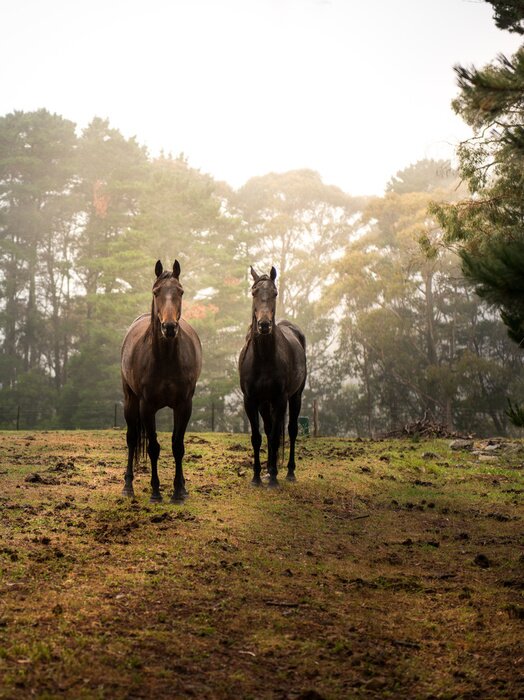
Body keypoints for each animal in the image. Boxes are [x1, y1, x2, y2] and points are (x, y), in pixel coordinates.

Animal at [121, 259, 202, 503]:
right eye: (156, 292)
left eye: (180, 291)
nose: (169, 327)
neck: (165, 359)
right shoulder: (146, 406)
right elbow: (154, 447)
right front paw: (156, 492)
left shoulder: (184, 405)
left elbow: (178, 445)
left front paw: (178, 492)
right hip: (130, 401)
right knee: (131, 438)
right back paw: (128, 486)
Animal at [238, 266, 307, 487]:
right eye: (254, 292)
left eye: (275, 293)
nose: (264, 324)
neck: (264, 358)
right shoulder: (251, 400)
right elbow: (258, 437)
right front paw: (257, 477)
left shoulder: (280, 399)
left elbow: (278, 436)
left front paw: (274, 478)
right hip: (264, 402)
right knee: (269, 431)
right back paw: (268, 471)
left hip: (295, 397)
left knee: (291, 430)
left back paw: (288, 472)